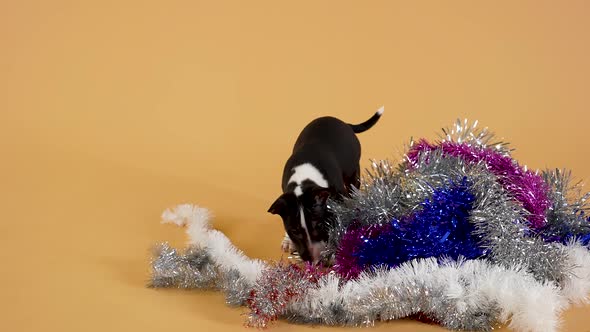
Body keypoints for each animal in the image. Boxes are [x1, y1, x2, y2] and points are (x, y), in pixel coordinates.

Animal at [268, 108, 384, 264]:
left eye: (320, 226)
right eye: (294, 231)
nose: (313, 261)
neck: (303, 181)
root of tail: (344, 123)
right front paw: (288, 240)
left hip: (353, 171)